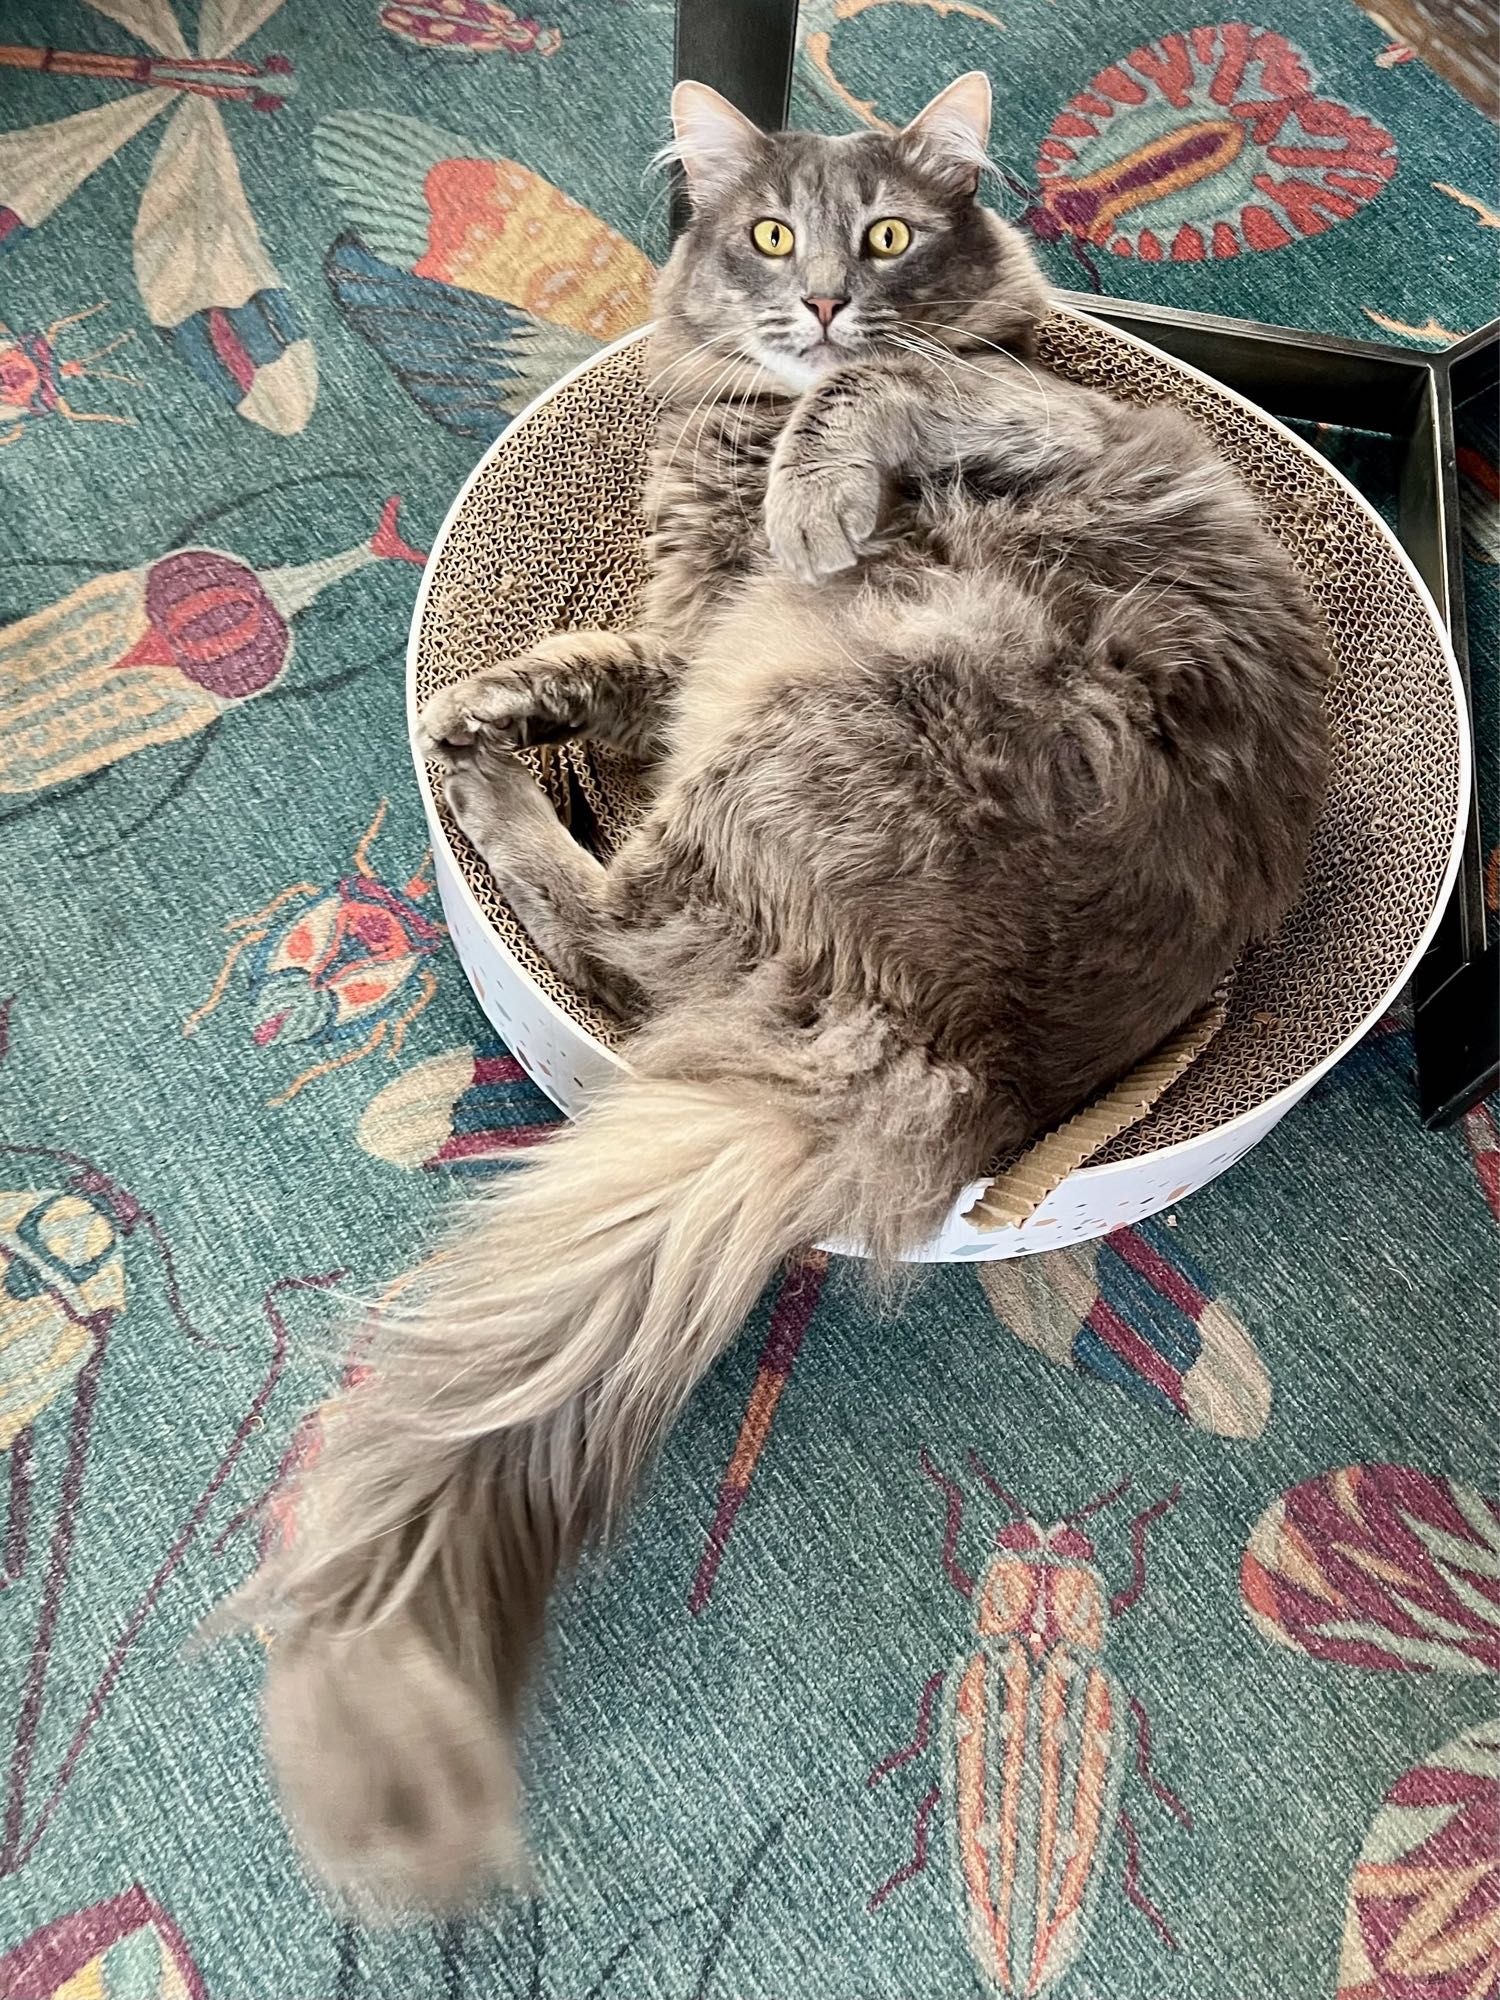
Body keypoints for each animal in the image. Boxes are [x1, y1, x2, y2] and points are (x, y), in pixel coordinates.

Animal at [244, 74, 1328, 1904]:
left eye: (883, 238)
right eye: (767, 235)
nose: (819, 301)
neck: (740, 425)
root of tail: (985, 1057)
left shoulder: (1022, 427)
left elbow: (883, 397)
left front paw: (804, 494)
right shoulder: (688, 630)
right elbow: (619, 661)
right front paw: (516, 683)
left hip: (845, 697)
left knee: (616, 925)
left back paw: (486, 786)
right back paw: (489, 737)